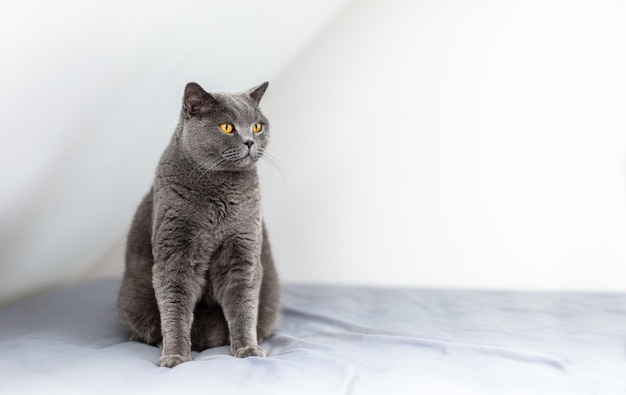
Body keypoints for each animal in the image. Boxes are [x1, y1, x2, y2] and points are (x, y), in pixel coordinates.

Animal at [116, 82, 280, 370]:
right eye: (227, 127)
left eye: (258, 126)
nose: (250, 141)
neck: (220, 193)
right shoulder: (175, 252)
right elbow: (175, 305)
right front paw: (175, 356)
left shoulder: (243, 249)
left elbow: (243, 304)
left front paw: (248, 348)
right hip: (132, 297)